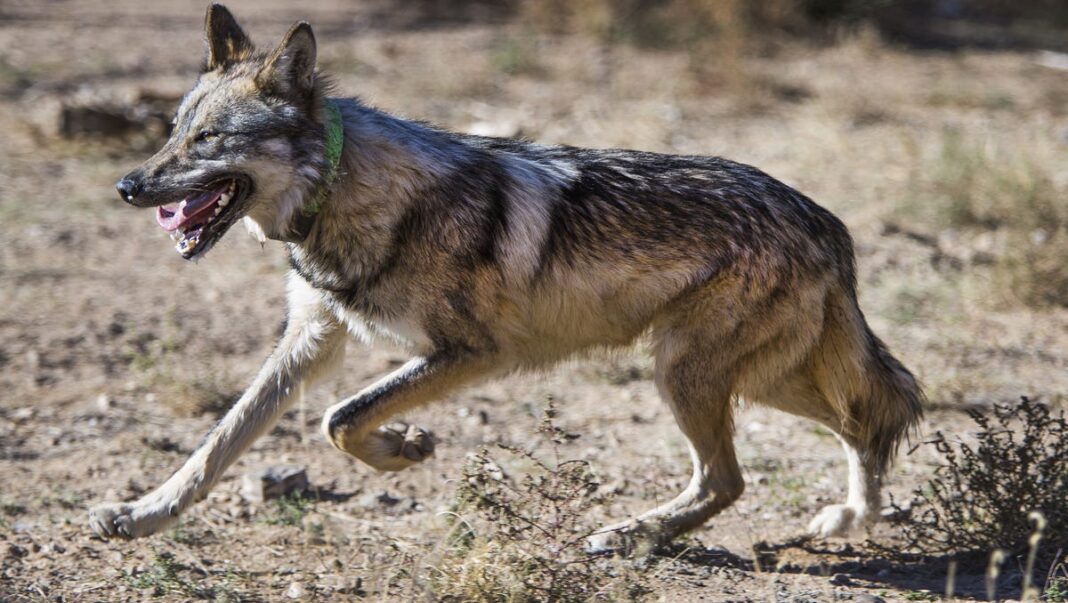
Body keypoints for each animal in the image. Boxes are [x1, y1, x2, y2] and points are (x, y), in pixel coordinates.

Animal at [91, 3, 927, 550]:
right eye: (172, 131)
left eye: (209, 139)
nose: (128, 187)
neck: (343, 192)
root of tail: (826, 221)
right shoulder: (312, 338)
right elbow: (217, 444)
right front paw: (142, 513)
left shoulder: (476, 352)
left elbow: (342, 417)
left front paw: (404, 446)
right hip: (742, 374)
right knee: (863, 420)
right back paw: (844, 519)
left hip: (691, 372)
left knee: (742, 474)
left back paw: (630, 534)